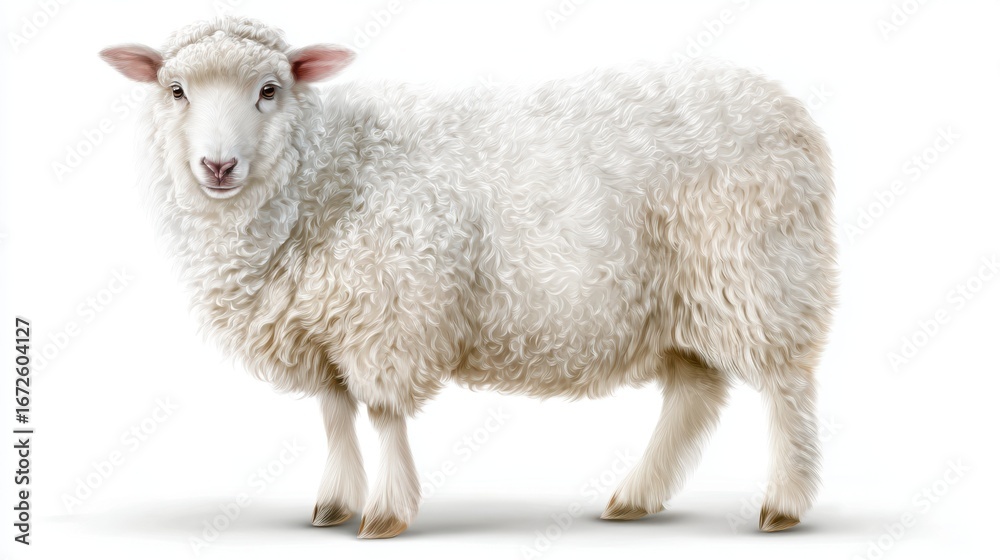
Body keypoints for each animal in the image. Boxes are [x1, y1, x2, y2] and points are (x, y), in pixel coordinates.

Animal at [100, 16, 836, 539]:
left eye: (269, 91)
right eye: (175, 91)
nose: (218, 166)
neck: (329, 174)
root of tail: (783, 104)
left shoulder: (387, 312)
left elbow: (383, 415)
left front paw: (386, 513)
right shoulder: (322, 328)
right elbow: (336, 416)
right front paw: (334, 503)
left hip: (761, 272)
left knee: (786, 389)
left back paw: (783, 504)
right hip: (679, 300)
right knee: (694, 394)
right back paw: (636, 497)